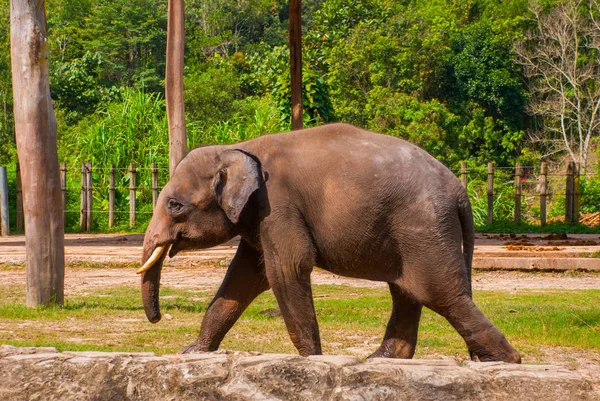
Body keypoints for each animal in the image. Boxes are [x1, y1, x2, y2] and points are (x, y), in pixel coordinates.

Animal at [138, 122, 524, 362]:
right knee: (408, 291)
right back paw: (380, 360)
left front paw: (313, 359)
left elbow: (286, 268)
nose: (156, 320)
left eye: (174, 206)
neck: (241, 149)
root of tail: (460, 191)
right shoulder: (258, 216)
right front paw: (192, 352)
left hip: (425, 228)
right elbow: (243, 277)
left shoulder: (278, 205)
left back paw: (503, 362)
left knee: (440, 294)